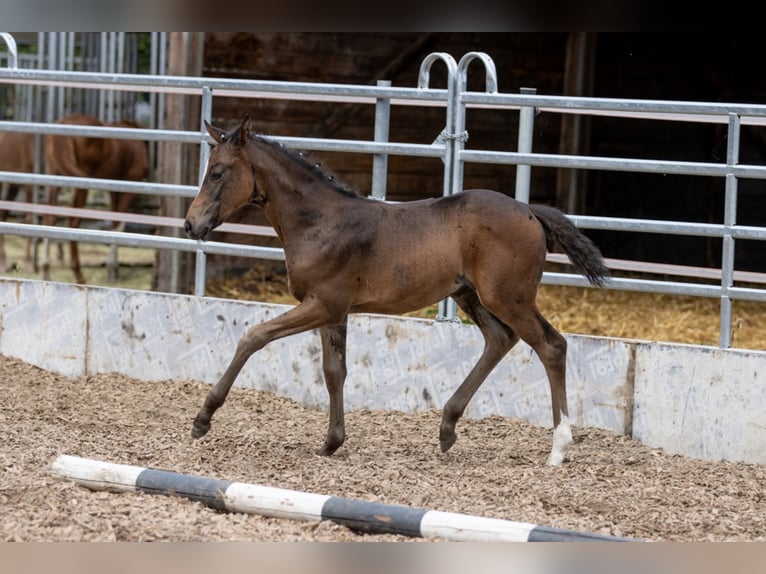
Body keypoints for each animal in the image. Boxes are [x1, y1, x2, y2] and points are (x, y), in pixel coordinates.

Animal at [41, 114, 150, 284]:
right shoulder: (131, 184)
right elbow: (120, 225)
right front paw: (112, 269)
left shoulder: (114, 188)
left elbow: (114, 222)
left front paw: (114, 270)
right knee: (73, 222)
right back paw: (79, 275)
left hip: (54, 178)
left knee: (49, 218)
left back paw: (46, 271)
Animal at [186, 115, 612, 466]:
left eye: (217, 173)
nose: (191, 225)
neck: (320, 221)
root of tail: (529, 211)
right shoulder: (333, 311)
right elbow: (334, 371)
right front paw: (331, 442)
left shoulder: (323, 304)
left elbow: (254, 337)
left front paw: (203, 418)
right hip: (470, 294)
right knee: (500, 339)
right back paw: (447, 428)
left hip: (507, 297)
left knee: (550, 346)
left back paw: (558, 448)